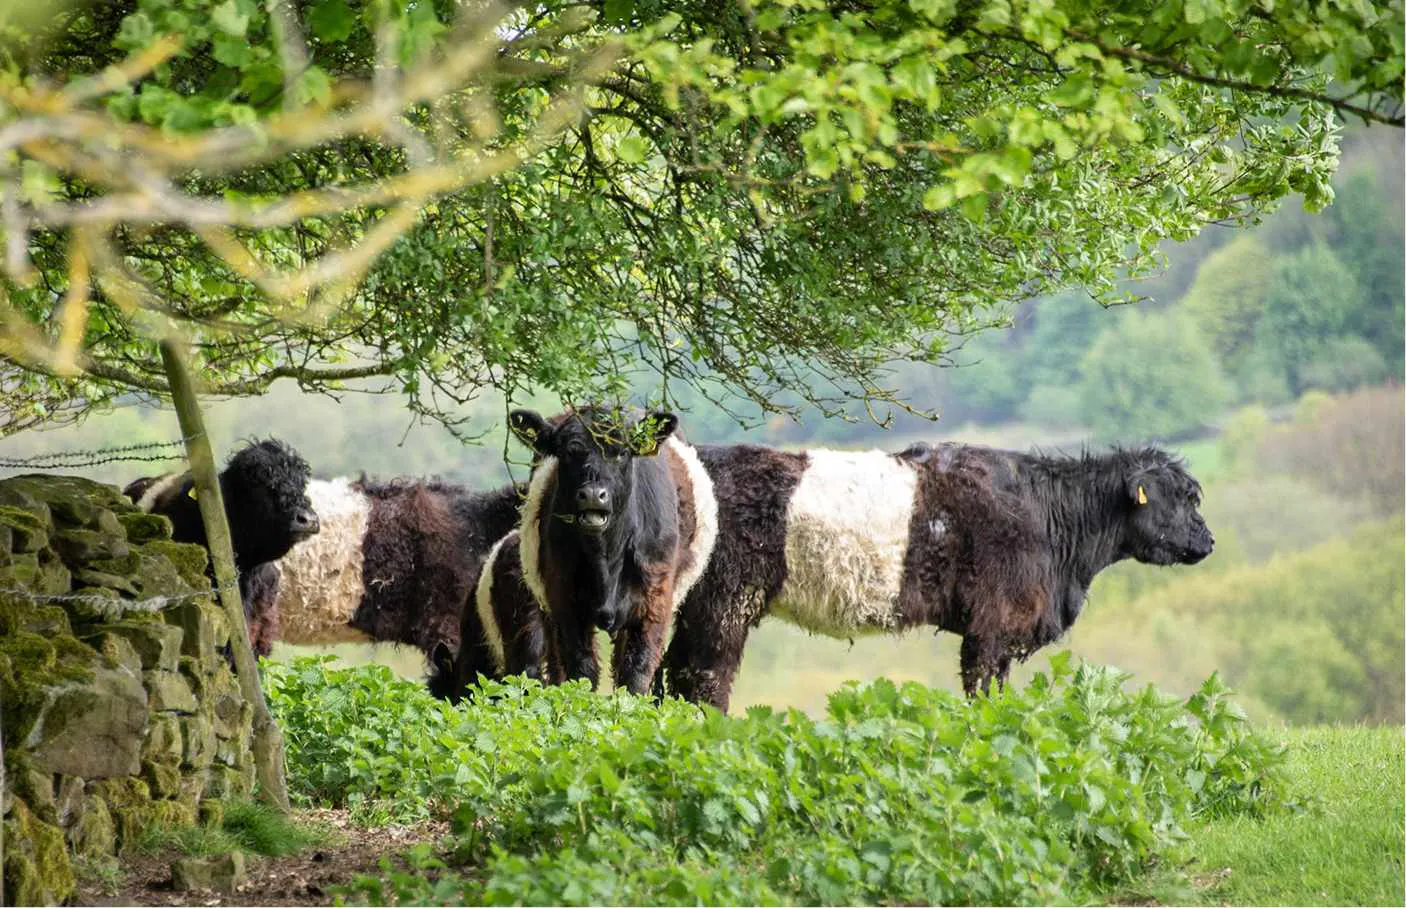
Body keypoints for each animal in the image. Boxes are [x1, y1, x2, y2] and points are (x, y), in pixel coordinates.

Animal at [503, 407, 718, 695]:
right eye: (569, 451)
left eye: (622, 452)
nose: (594, 495)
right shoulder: (564, 602)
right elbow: (581, 671)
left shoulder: (653, 606)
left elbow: (636, 672)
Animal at [661, 442, 1214, 710]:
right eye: (1183, 498)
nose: (1208, 542)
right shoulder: (993, 625)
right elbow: (982, 692)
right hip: (727, 602)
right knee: (706, 677)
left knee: (672, 673)